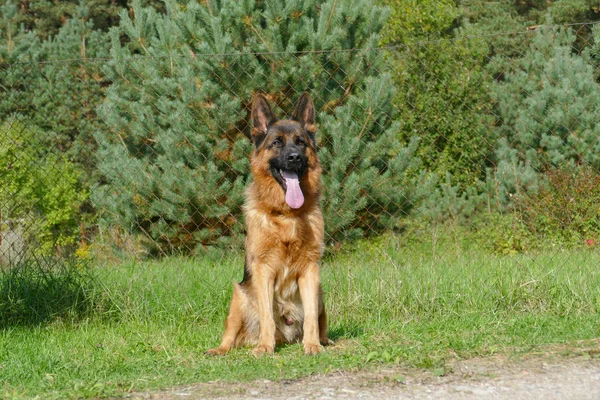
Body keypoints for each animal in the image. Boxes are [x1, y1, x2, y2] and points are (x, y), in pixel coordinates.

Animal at [205, 92, 328, 354]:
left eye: (300, 142)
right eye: (277, 143)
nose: (294, 157)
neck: (286, 215)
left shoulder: (310, 270)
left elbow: (311, 317)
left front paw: (312, 345)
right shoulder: (263, 270)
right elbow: (267, 316)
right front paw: (264, 347)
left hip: (321, 289)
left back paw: (322, 340)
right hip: (239, 296)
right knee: (230, 334)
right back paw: (222, 349)